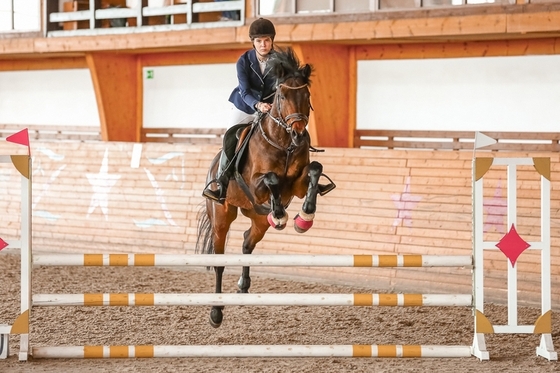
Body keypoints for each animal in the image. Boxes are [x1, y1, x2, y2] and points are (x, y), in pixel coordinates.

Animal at [195, 48, 334, 326]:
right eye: (281, 95)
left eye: (307, 95)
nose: (298, 134)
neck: (284, 143)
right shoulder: (256, 185)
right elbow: (271, 179)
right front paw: (280, 214)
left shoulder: (297, 186)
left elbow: (315, 169)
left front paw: (304, 217)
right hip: (221, 216)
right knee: (219, 261)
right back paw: (216, 312)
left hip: (257, 219)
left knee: (247, 241)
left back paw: (243, 285)